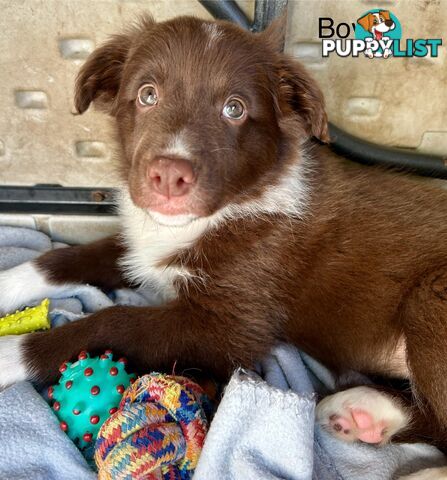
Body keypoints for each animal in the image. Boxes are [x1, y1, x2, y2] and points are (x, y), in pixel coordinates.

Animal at [0, 14, 447, 472]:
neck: (224, 210)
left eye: (235, 108)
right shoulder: (142, 246)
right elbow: (60, 258)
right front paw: (6, 287)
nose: (168, 176)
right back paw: (363, 414)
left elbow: (112, 321)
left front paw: (9, 354)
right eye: (147, 95)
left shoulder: (230, 325)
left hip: (431, 298)